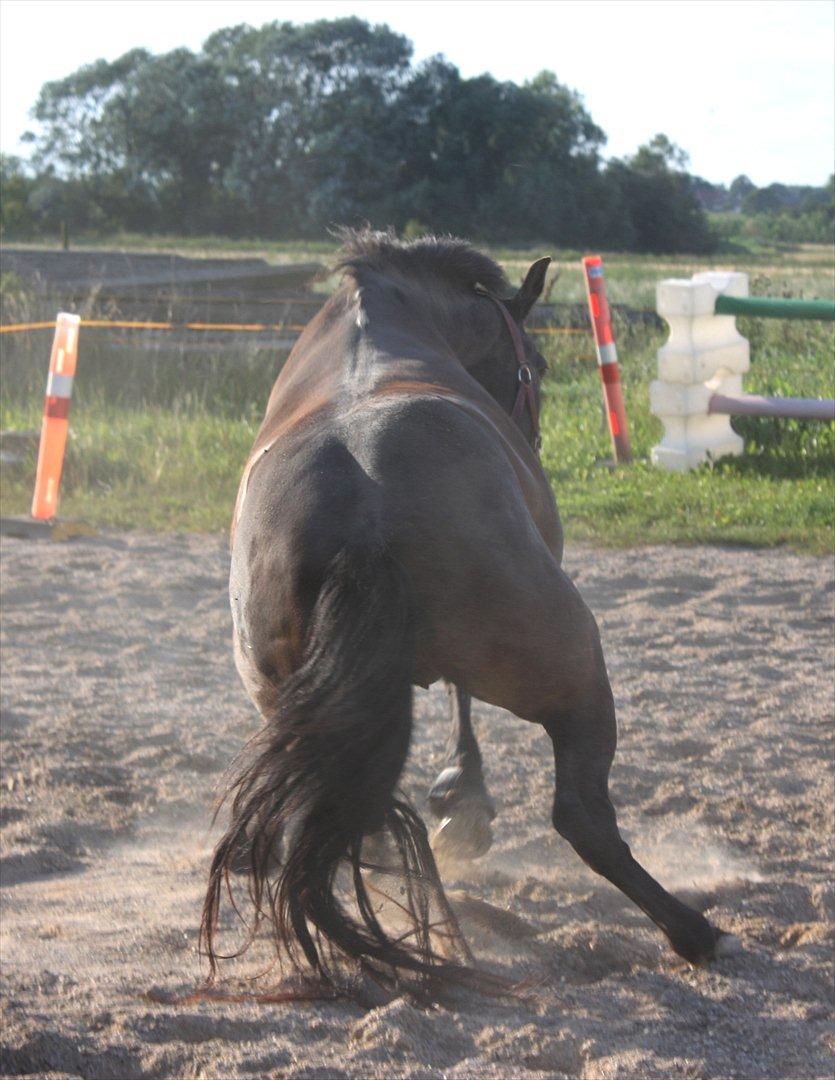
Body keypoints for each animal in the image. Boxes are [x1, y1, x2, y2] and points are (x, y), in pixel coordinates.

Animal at [205, 232, 734, 989]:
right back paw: (689, 930)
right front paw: (465, 799)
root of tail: (361, 510)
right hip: (573, 673)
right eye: (536, 363)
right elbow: (461, 699)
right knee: (581, 817)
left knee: (356, 823)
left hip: (295, 707)